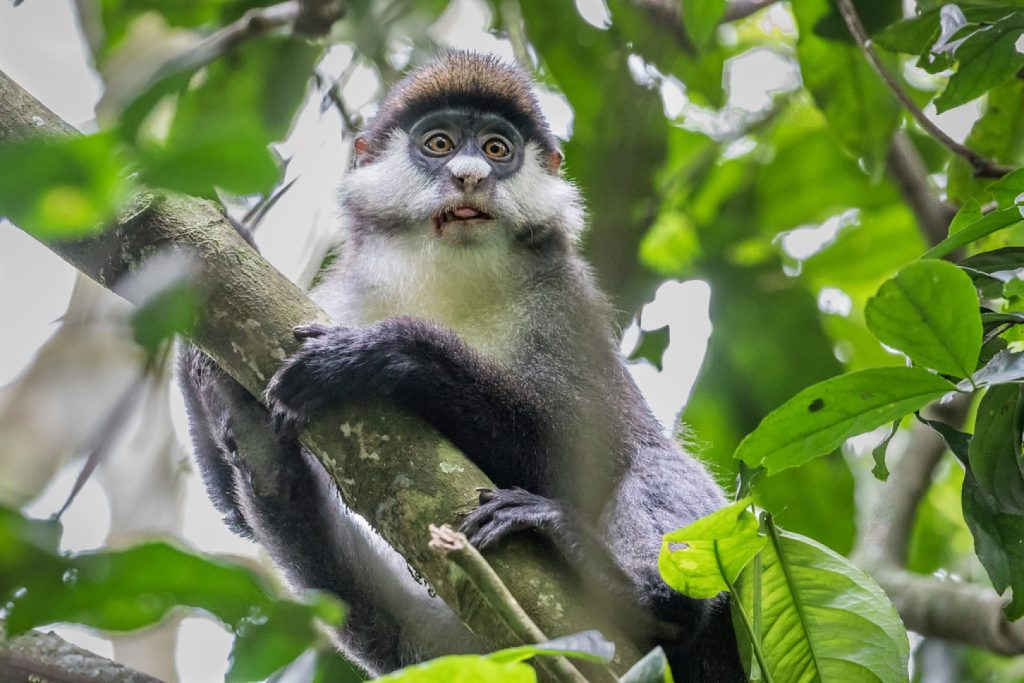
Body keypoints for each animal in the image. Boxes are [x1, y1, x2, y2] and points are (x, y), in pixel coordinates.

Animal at [180, 50, 745, 679]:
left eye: (497, 149)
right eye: (441, 143)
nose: (470, 175)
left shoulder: (564, 305)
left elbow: (581, 455)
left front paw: (384, 352)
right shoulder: (342, 297)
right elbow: (237, 514)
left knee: (655, 461)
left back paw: (641, 595)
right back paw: (257, 445)